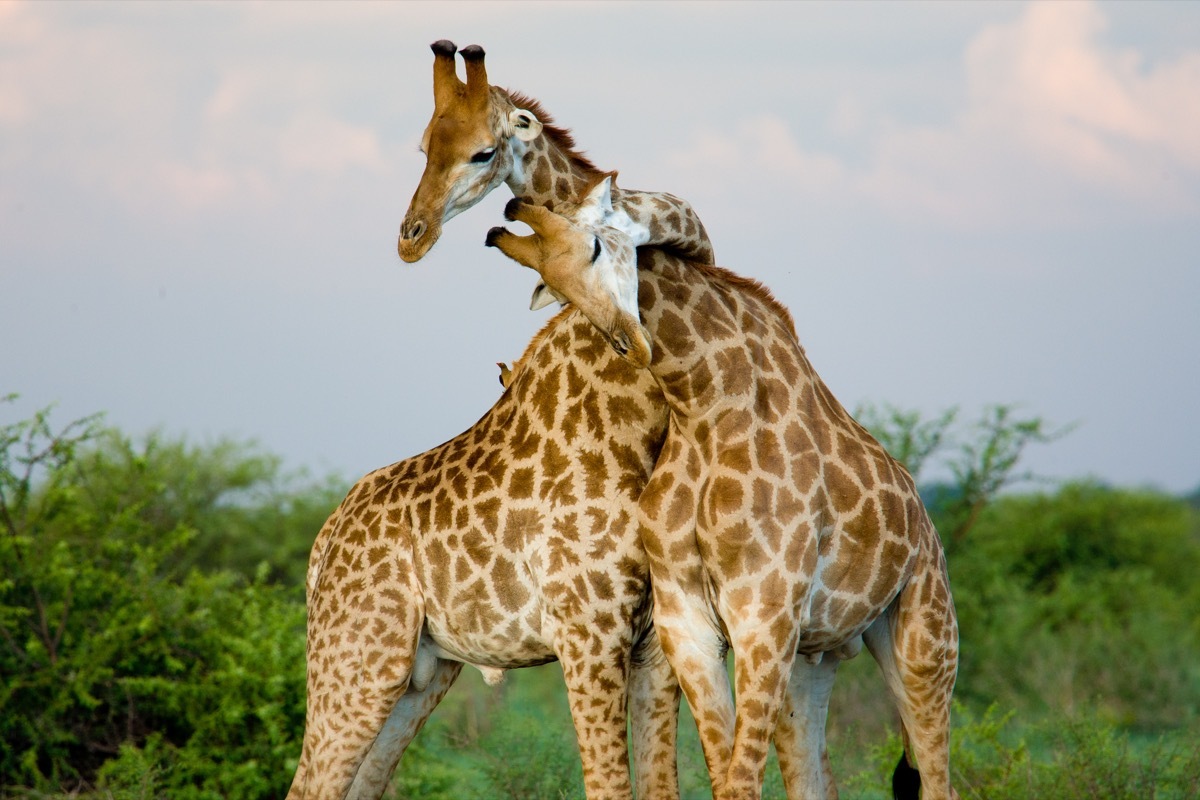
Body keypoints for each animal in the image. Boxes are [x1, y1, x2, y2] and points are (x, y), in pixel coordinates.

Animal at [286, 258, 684, 798]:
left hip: (420, 677)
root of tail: (325, 538)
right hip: (360, 662)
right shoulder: (590, 636)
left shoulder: (656, 647)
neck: (629, 437)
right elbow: (608, 784)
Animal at [486, 191, 961, 800]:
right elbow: (725, 776)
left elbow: (739, 782)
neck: (704, 410)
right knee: (816, 776)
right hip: (814, 657)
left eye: (595, 247)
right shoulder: (687, 622)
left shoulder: (764, 616)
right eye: (552, 285)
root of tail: (926, 524)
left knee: (937, 775)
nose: (629, 342)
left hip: (925, 638)